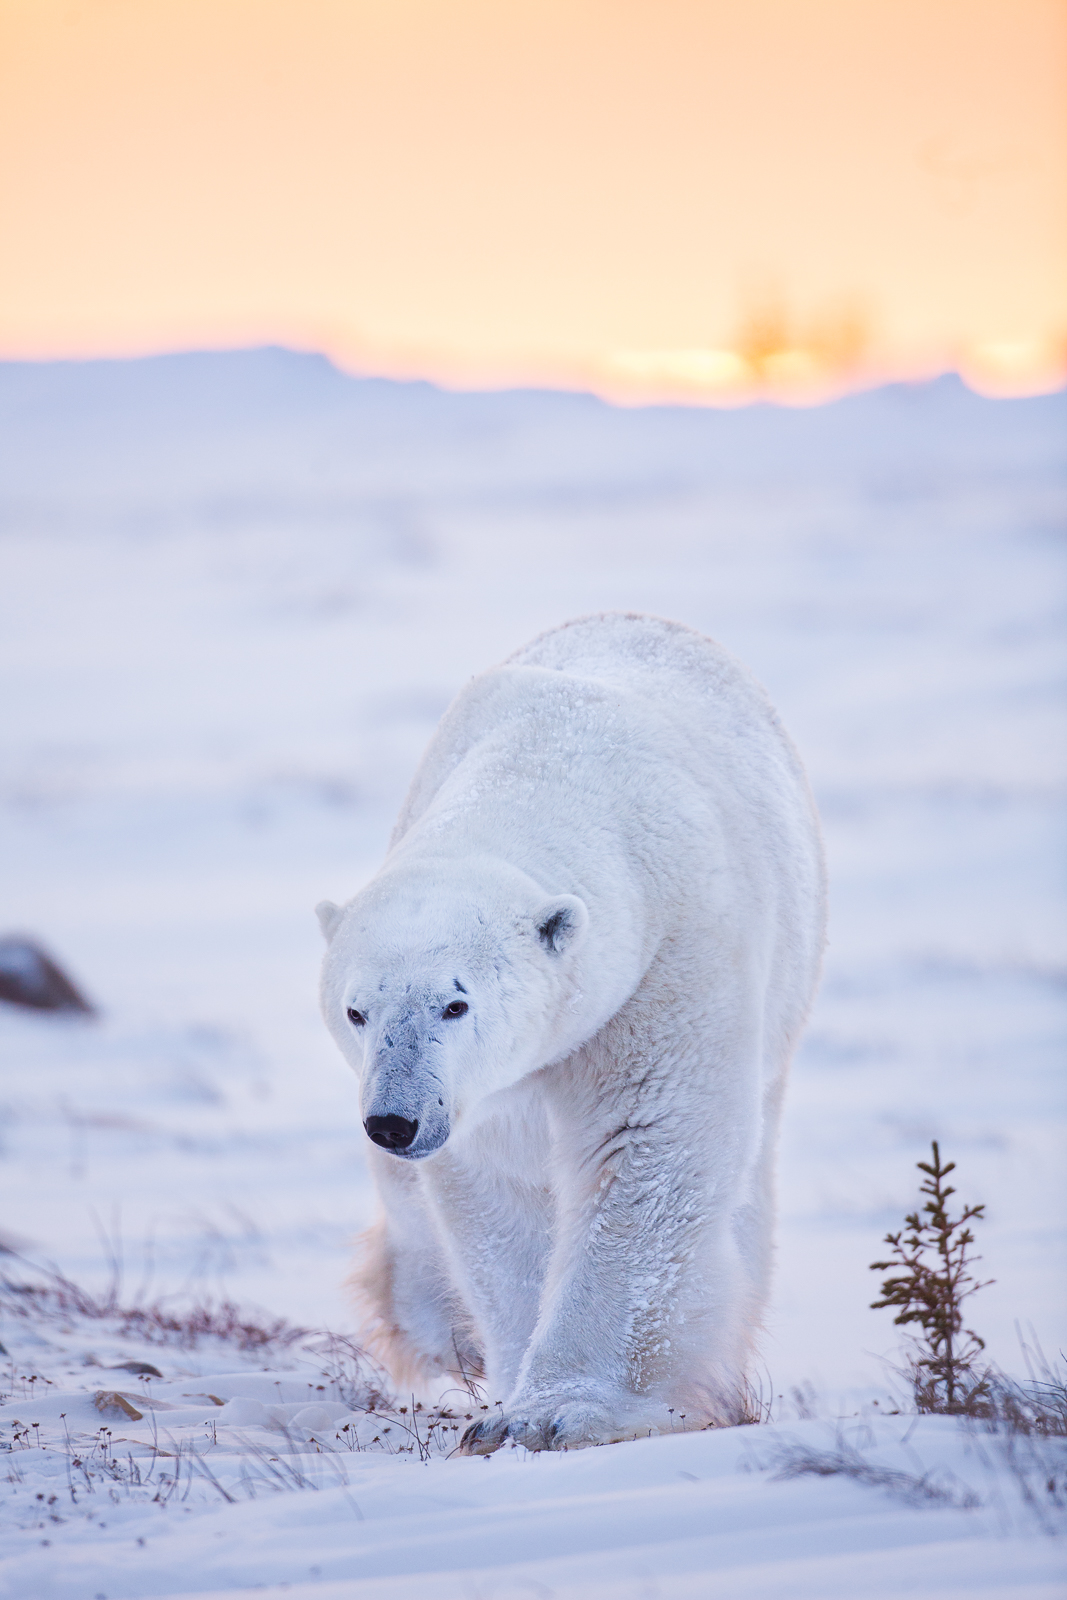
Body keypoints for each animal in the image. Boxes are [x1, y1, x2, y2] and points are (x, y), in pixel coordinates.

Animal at [316, 608, 825, 1452]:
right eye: (356, 1011)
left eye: (455, 1004)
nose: (393, 1121)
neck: (547, 765)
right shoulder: (489, 1094)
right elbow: (498, 1190)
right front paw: (506, 1398)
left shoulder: (667, 961)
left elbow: (647, 1147)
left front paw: (560, 1409)